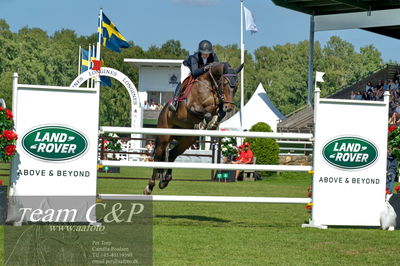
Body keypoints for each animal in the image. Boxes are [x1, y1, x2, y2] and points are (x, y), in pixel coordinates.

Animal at [144, 62, 244, 195]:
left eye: (236, 86)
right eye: (224, 84)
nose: (230, 108)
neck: (210, 85)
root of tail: (162, 111)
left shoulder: (218, 106)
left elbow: (219, 113)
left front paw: (213, 123)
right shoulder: (192, 107)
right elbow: (206, 113)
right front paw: (205, 123)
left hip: (187, 140)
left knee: (172, 154)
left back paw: (165, 180)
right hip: (164, 137)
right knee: (158, 157)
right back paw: (149, 187)